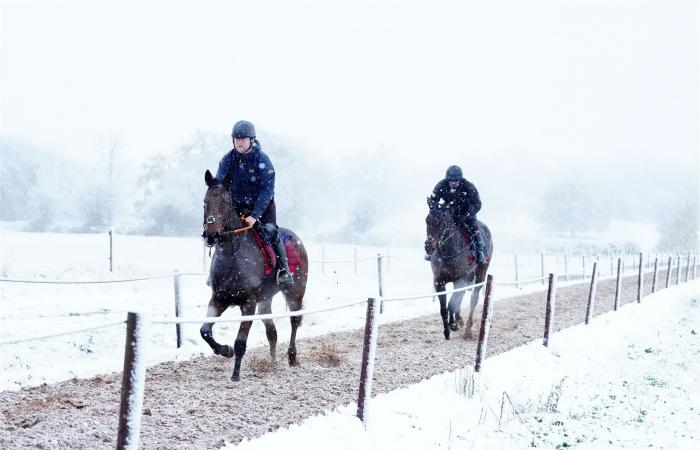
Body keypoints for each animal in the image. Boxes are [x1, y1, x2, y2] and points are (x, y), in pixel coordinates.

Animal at [197, 169, 306, 380]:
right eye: (205, 201)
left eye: (226, 202)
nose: (211, 235)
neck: (232, 255)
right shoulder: (218, 299)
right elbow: (205, 331)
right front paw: (225, 350)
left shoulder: (249, 303)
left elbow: (240, 342)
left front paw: (235, 374)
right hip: (265, 302)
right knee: (272, 331)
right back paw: (272, 362)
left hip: (295, 294)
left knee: (294, 321)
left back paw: (292, 356)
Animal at [426, 206, 492, 340]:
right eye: (427, 220)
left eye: (440, 223)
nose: (428, 245)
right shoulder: (439, 282)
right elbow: (444, 308)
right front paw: (447, 331)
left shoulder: (460, 279)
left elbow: (452, 304)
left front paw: (454, 325)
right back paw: (459, 320)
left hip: (481, 272)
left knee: (474, 298)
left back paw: (467, 329)